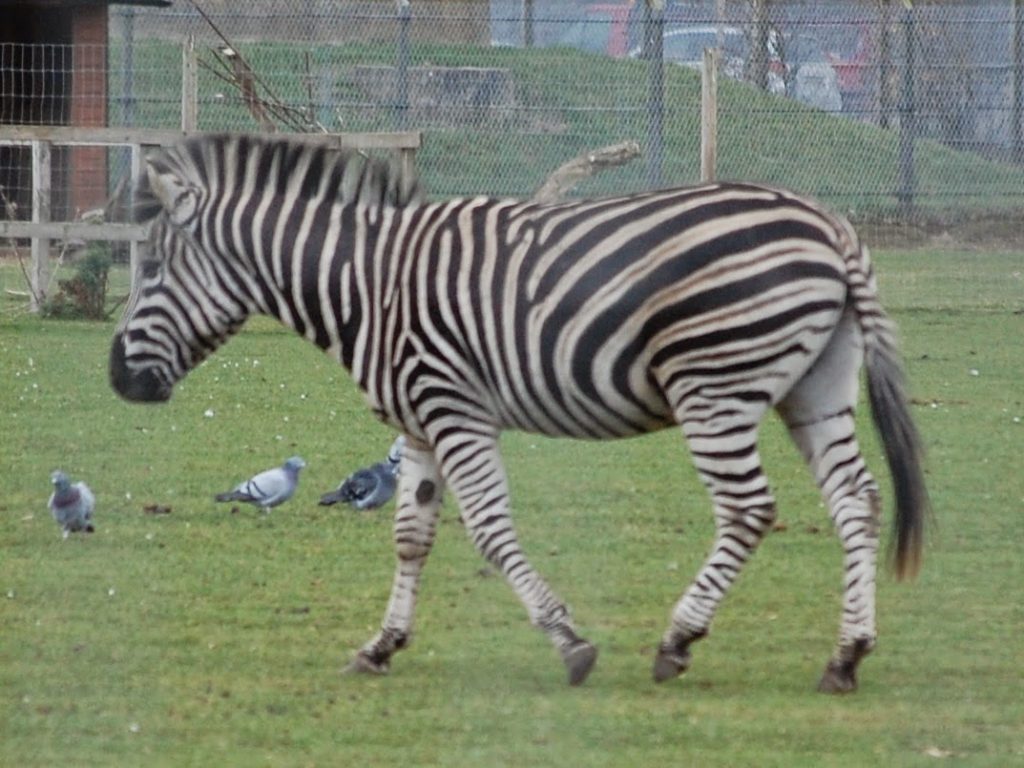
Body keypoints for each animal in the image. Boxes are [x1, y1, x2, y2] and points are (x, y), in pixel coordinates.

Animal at [110, 134, 928, 693]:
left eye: (151, 268)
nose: (117, 378)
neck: (366, 283)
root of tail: (833, 226)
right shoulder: (419, 420)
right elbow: (411, 537)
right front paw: (381, 646)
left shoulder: (453, 408)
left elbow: (490, 529)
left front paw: (570, 642)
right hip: (815, 390)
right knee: (858, 501)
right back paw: (846, 656)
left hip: (713, 389)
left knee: (749, 509)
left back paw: (678, 640)